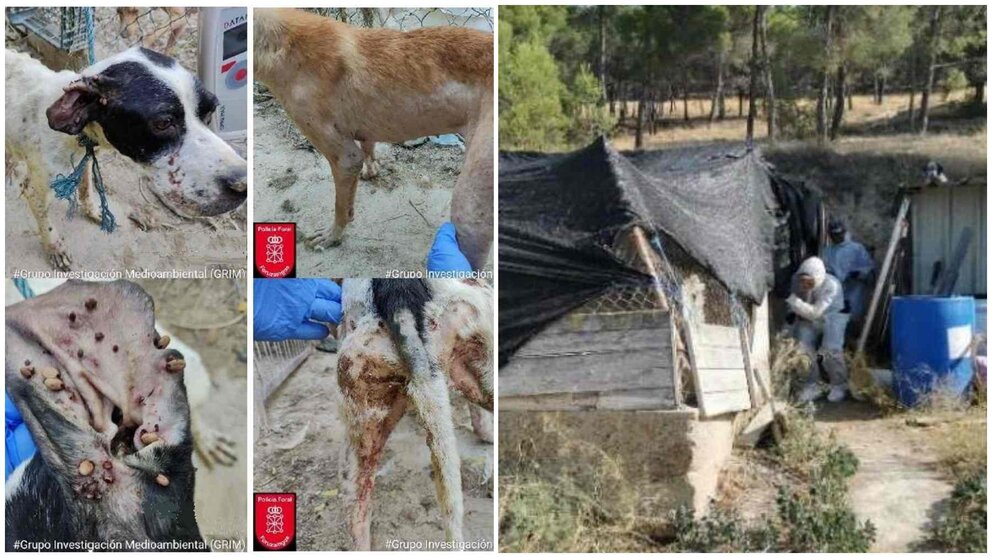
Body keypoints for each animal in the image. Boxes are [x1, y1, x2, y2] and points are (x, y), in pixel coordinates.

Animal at [5, 47, 246, 270]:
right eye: (163, 123)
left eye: (210, 110)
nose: (243, 184)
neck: (80, 133)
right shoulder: (35, 190)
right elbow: (46, 222)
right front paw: (55, 248)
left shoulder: (87, 158)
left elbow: (86, 187)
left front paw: (95, 211)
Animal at [252, 8, 492, 272]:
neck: (282, 43)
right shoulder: (362, 135)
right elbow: (368, 148)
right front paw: (371, 170)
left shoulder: (344, 158)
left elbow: (340, 207)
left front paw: (332, 236)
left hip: (469, 207)